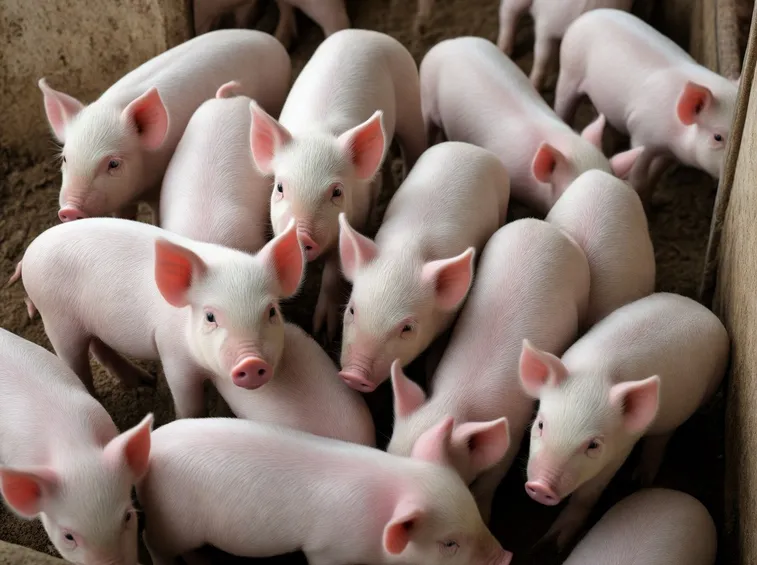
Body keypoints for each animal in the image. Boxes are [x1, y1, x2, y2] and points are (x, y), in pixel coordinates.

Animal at [13, 217, 304, 418]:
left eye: (271, 312)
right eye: (210, 317)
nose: (252, 362)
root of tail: (29, 253)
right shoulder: (173, 354)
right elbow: (189, 403)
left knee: (98, 345)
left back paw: (145, 381)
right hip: (55, 316)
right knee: (75, 360)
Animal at [137, 417, 513, 565]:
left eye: (475, 510)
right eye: (449, 544)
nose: (508, 556)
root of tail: (152, 447)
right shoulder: (324, 549)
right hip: (170, 520)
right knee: (153, 544)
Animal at [248, 29, 427, 341]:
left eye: (337, 192)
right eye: (280, 188)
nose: (302, 235)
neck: (319, 133)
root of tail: (364, 33)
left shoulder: (353, 219)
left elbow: (334, 271)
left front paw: (324, 331)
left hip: (409, 98)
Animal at [519, 292, 729, 549]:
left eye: (593, 445)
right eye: (540, 425)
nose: (540, 486)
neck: (596, 375)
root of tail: (702, 308)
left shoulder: (622, 447)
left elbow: (587, 495)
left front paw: (556, 544)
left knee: (661, 438)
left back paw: (640, 481)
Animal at [555, 9, 739, 195]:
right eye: (717, 137)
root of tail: (587, 15)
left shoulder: (672, 153)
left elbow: (656, 173)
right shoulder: (641, 135)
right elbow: (638, 174)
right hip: (569, 70)